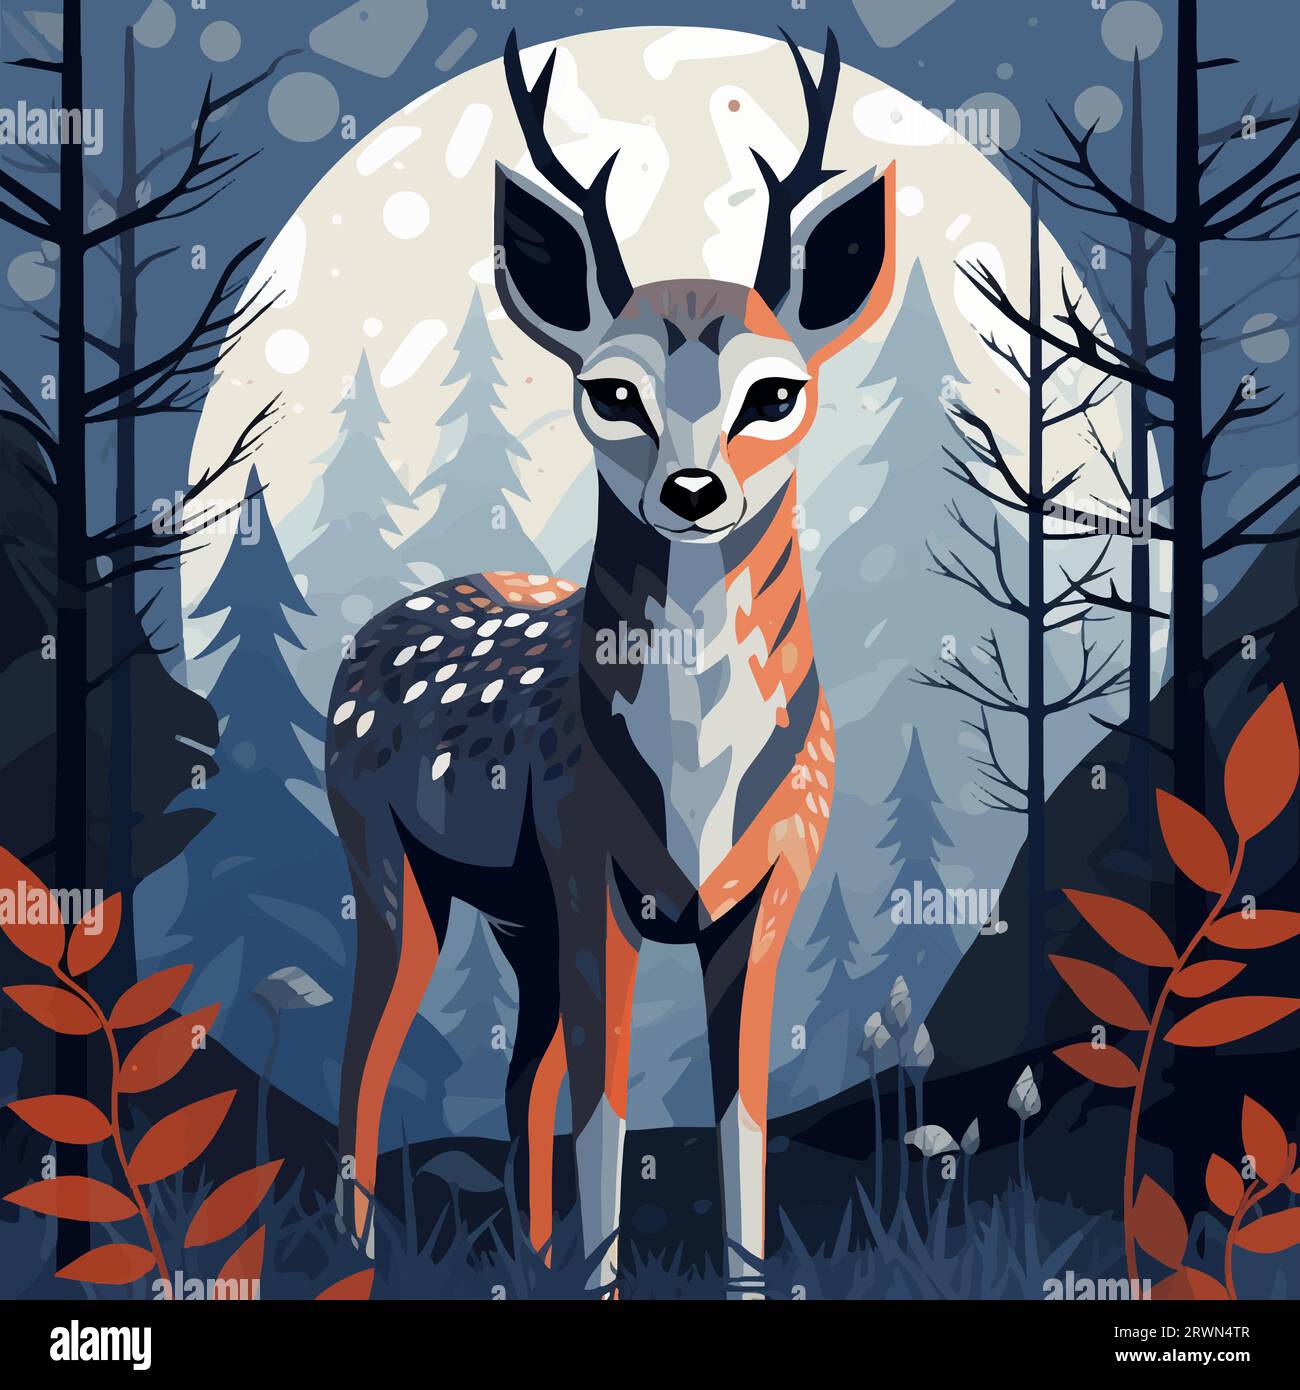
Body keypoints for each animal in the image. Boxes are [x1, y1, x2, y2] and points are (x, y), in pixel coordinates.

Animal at [327, 28, 895, 1295]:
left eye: (775, 389)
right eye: (610, 390)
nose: (692, 490)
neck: (696, 789)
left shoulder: (769, 886)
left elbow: (739, 1120)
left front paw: (740, 1278)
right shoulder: (589, 866)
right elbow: (608, 1109)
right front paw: (599, 1280)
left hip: (518, 916)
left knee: (517, 1074)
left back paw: (527, 1250)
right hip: (384, 856)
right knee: (368, 1053)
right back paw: (356, 1254)